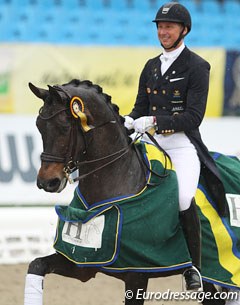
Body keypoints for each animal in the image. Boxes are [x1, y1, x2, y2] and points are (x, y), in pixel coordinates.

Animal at [23, 79, 227, 304]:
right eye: (39, 126)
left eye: (64, 126)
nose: (47, 182)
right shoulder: (84, 263)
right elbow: (36, 264)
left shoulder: (137, 274)